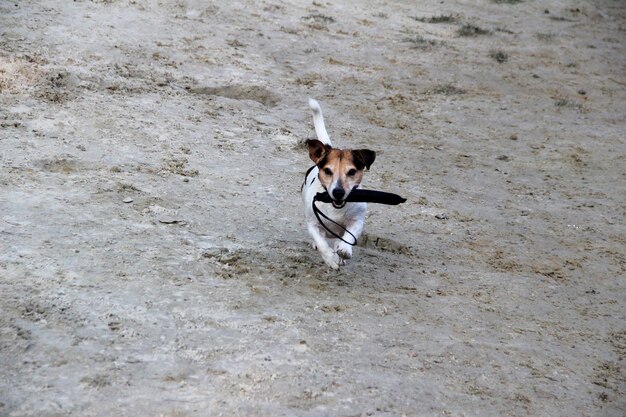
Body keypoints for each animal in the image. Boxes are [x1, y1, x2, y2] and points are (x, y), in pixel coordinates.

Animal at [300, 98, 372, 268]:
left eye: (351, 172)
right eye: (327, 170)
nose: (338, 192)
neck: (335, 207)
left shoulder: (356, 221)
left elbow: (349, 237)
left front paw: (344, 251)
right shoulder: (313, 224)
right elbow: (322, 243)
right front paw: (331, 259)